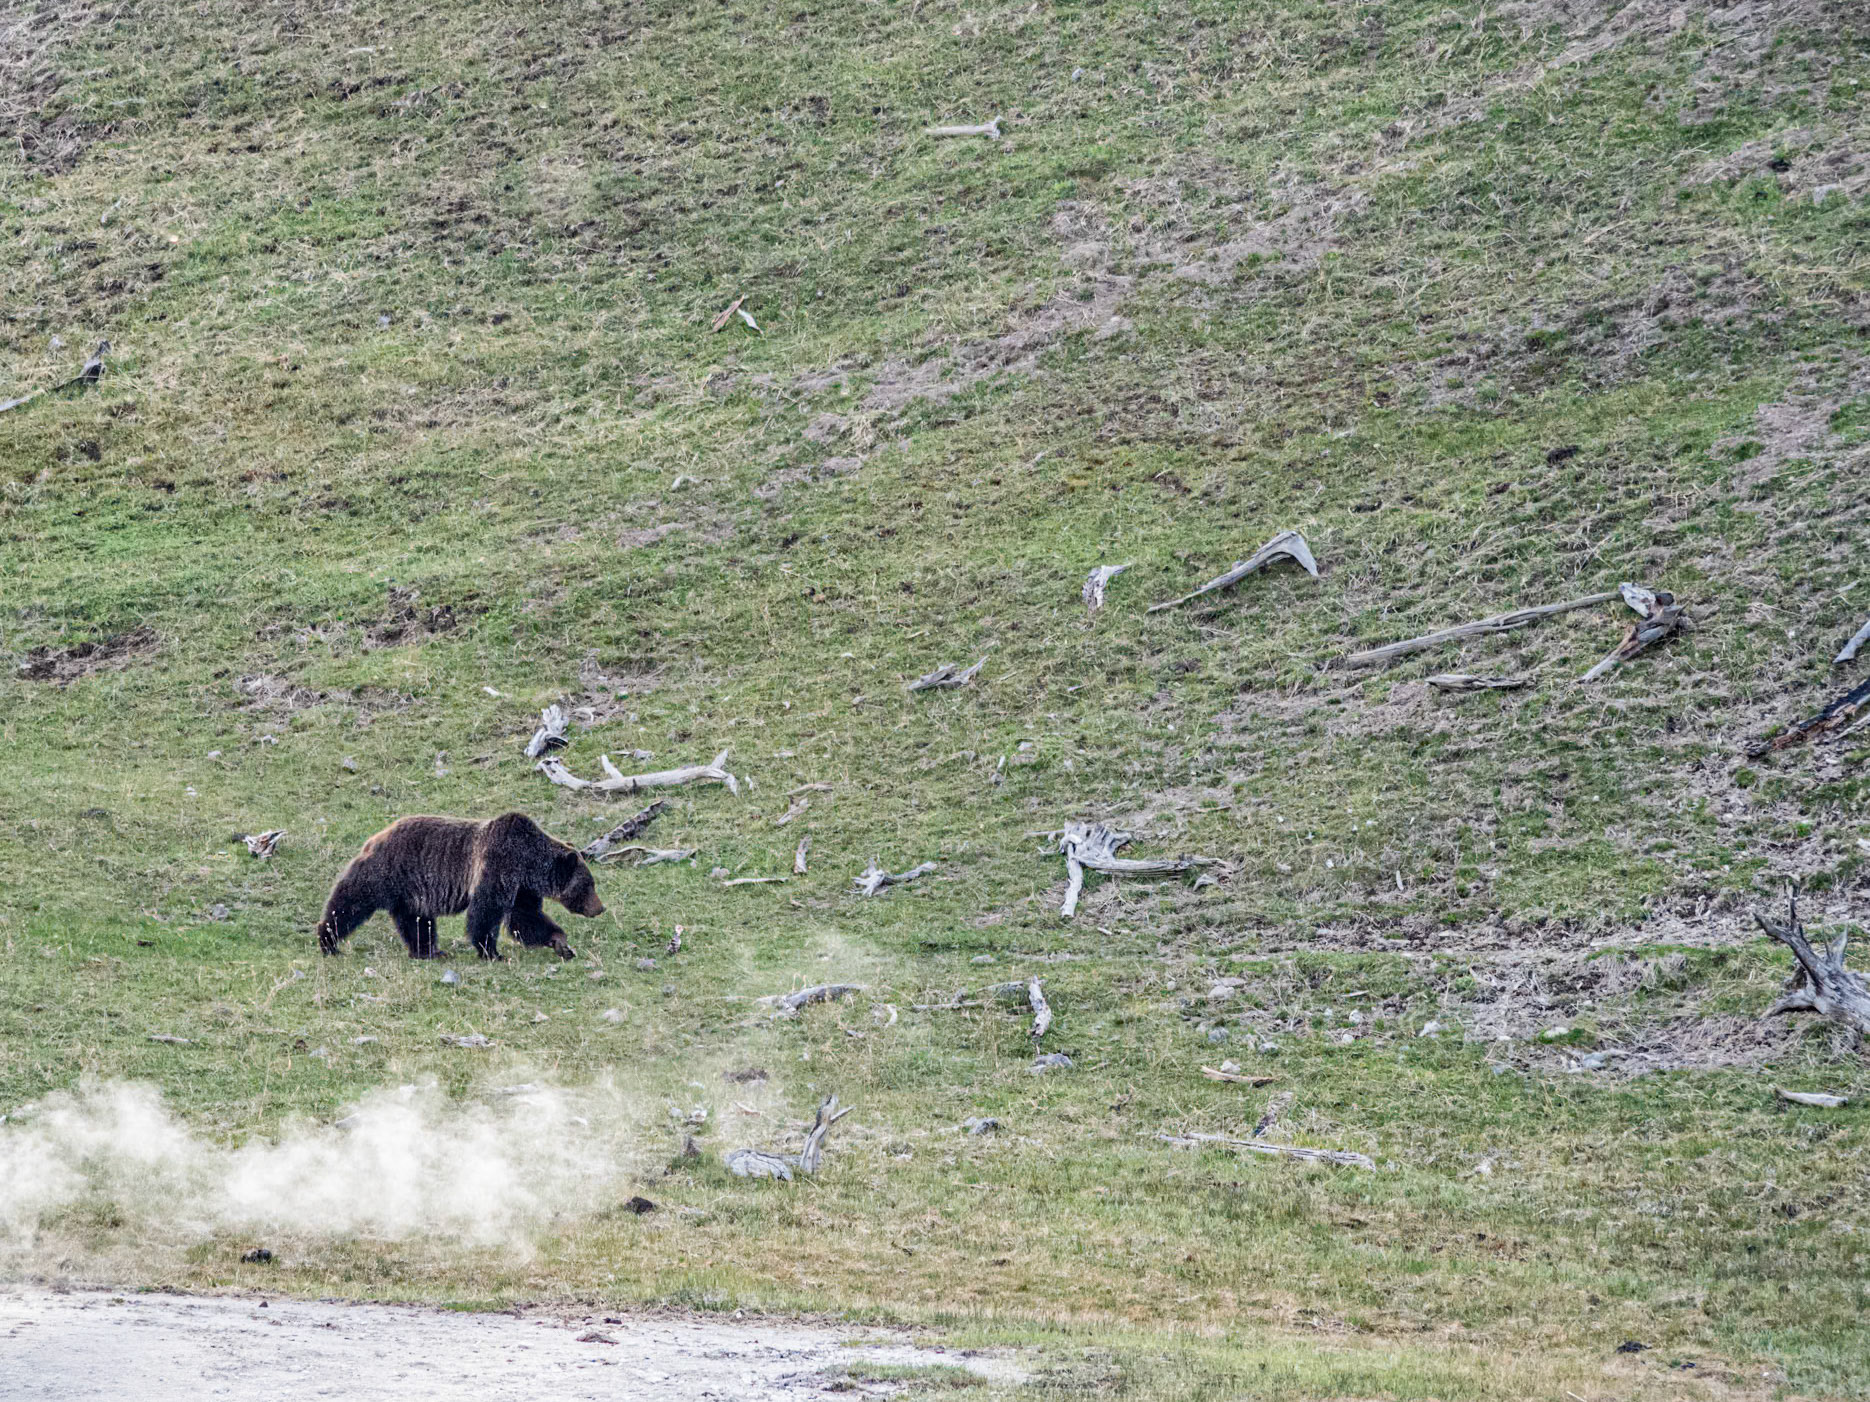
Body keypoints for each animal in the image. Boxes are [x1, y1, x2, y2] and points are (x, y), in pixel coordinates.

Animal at [315, 812, 604, 961]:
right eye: (589, 884)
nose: (600, 908)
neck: (528, 862)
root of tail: (375, 837)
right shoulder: (498, 864)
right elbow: (486, 912)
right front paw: (492, 952)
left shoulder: (522, 887)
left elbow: (525, 918)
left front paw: (561, 943)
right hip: (385, 873)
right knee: (350, 903)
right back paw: (328, 940)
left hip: (412, 893)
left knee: (416, 922)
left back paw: (429, 951)